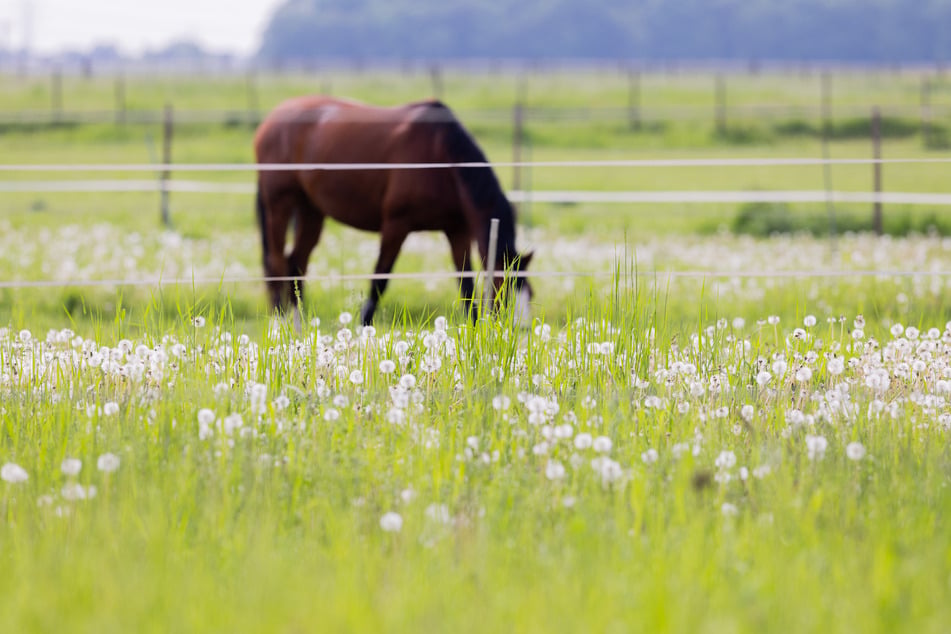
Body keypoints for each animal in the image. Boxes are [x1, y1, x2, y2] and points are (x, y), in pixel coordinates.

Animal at [253, 96, 533, 326]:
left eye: (530, 294)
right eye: (504, 290)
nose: (519, 331)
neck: (440, 156)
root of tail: (271, 120)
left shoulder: (457, 232)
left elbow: (465, 285)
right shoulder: (396, 226)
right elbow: (380, 280)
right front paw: (364, 327)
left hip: (311, 210)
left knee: (296, 263)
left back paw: (298, 323)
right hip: (280, 204)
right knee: (276, 262)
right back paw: (280, 321)